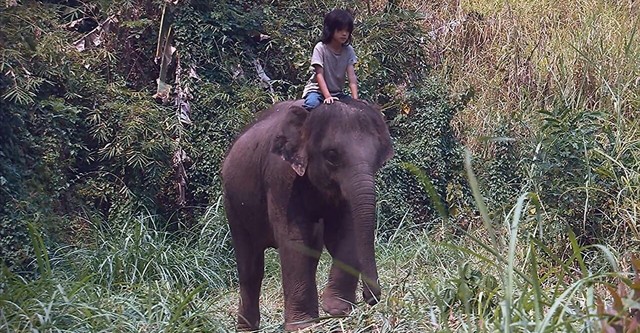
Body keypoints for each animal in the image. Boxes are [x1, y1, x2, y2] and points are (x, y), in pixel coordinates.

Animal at [224, 98, 396, 330]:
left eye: (378, 158)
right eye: (332, 155)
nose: (370, 298)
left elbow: (346, 232)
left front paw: (336, 310)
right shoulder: (280, 177)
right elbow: (294, 239)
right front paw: (303, 326)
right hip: (233, 204)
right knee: (250, 266)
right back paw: (246, 329)